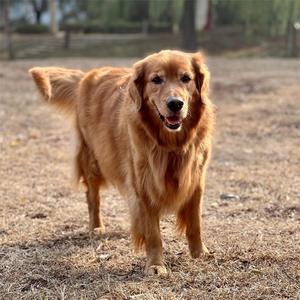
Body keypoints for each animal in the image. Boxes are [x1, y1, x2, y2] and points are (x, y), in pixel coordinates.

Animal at [29, 49, 214, 276]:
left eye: (186, 78)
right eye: (156, 79)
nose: (175, 104)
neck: (171, 144)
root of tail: (86, 76)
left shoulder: (196, 179)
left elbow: (195, 223)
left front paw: (199, 253)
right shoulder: (143, 184)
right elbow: (153, 233)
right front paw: (155, 264)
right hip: (92, 159)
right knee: (92, 197)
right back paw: (96, 227)